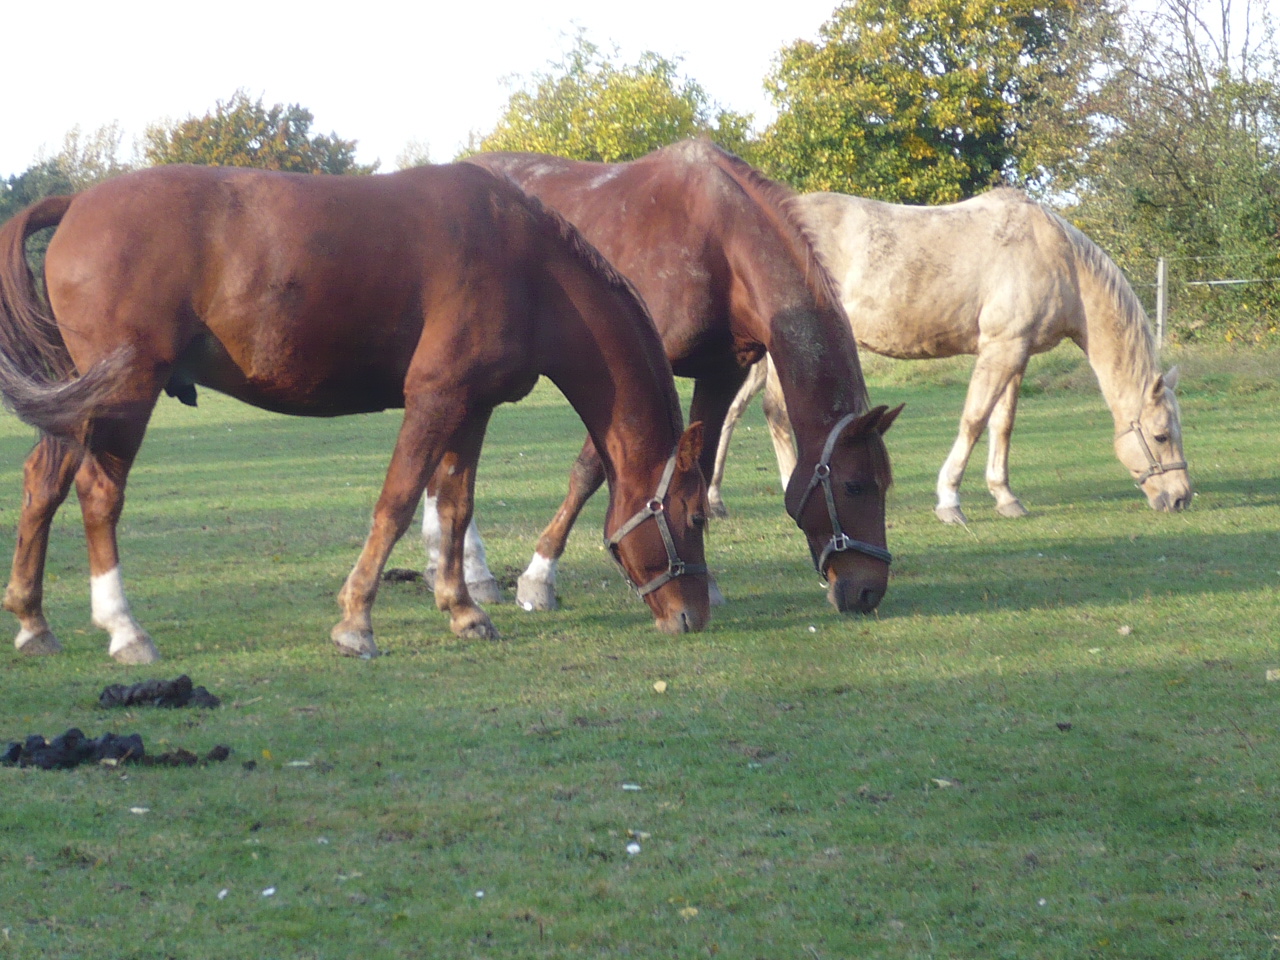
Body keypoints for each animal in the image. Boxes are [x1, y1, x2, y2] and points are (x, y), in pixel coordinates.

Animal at [0, 163, 711, 670]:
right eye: (696, 516)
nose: (695, 616)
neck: (528, 265)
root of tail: (77, 202)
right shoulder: (434, 399)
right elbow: (396, 504)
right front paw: (356, 622)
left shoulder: (471, 408)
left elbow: (454, 508)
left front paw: (462, 610)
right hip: (125, 395)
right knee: (99, 494)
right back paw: (124, 628)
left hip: (80, 402)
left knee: (42, 485)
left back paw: (34, 622)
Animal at [424, 138, 906, 611]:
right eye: (855, 486)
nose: (868, 592)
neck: (719, 239)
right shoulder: (624, 372)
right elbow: (587, 473)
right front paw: (539, 577)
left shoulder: (721, 372)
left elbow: (700, 465)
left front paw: (705, 581)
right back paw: (474, 570)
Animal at [711, 185, 1187, 527]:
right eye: (1161, 435)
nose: (1181, 497)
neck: (1057, 258)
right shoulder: (1000, 348)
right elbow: (974, 421)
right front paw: (950, 501)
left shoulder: (1017, 353)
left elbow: (1002, 424)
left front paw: (1005, 496)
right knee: (776, 413)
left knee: (733, 411)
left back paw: (715, 499)